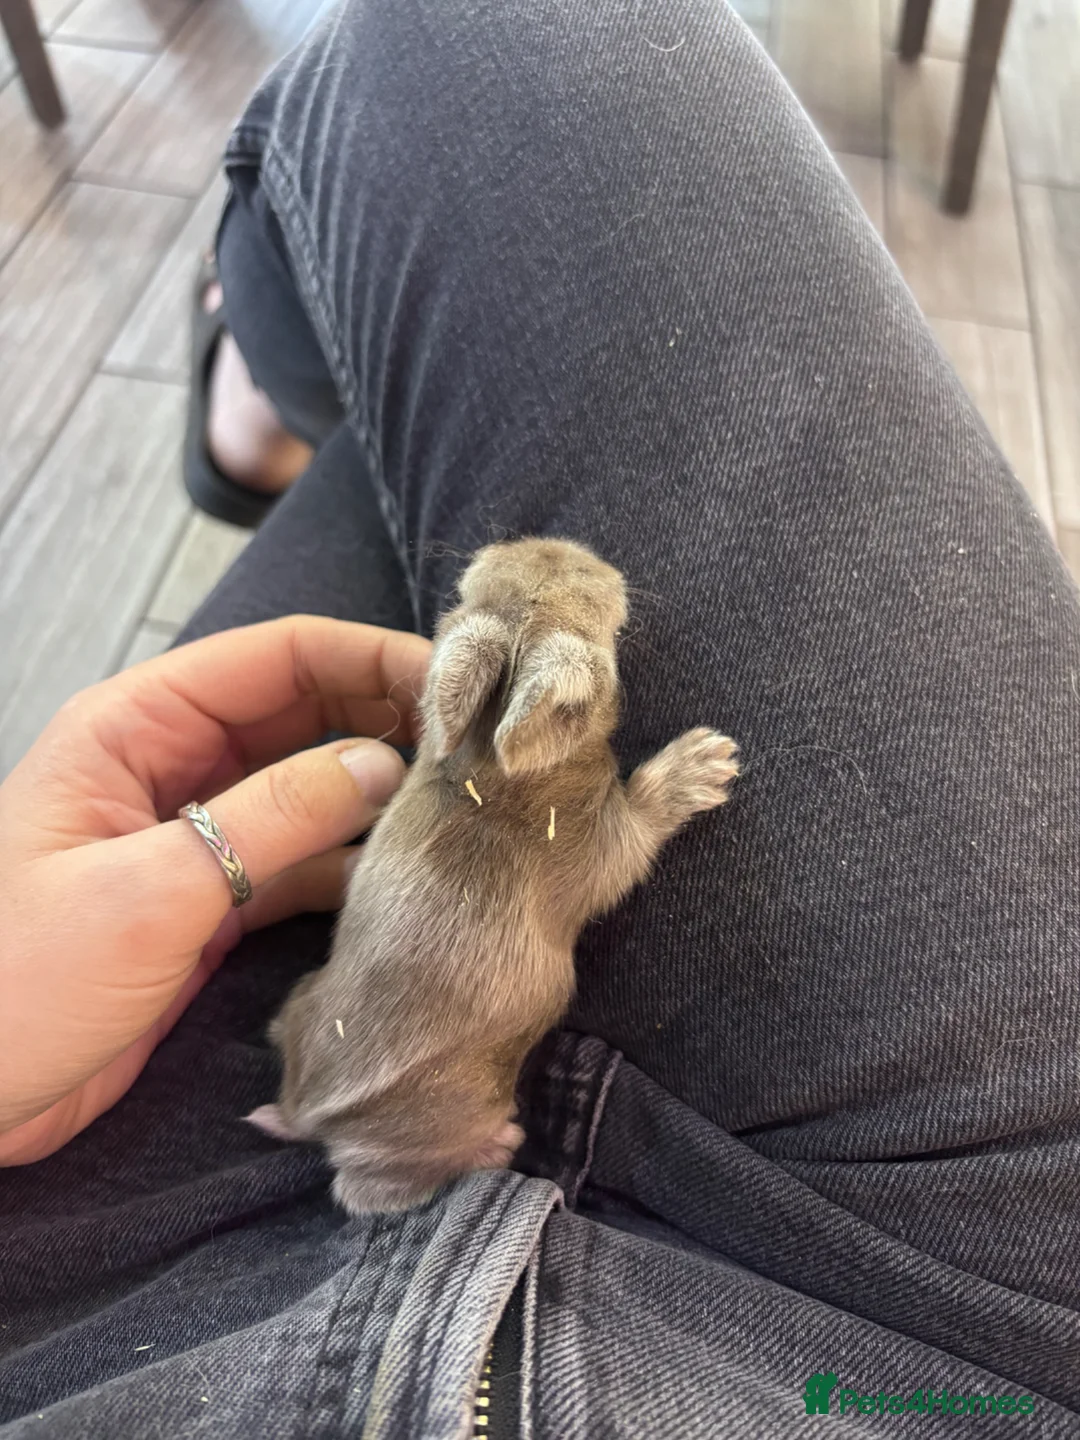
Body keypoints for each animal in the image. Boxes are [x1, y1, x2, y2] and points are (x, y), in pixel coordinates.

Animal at [248, 538, 739, 1214]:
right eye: (585, 582)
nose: (543, 543)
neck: (490, 760)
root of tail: (306, 1114)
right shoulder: (603, 844)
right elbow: (640, 824)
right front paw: (705, 761)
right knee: (368, 1190)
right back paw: (497, 1145)